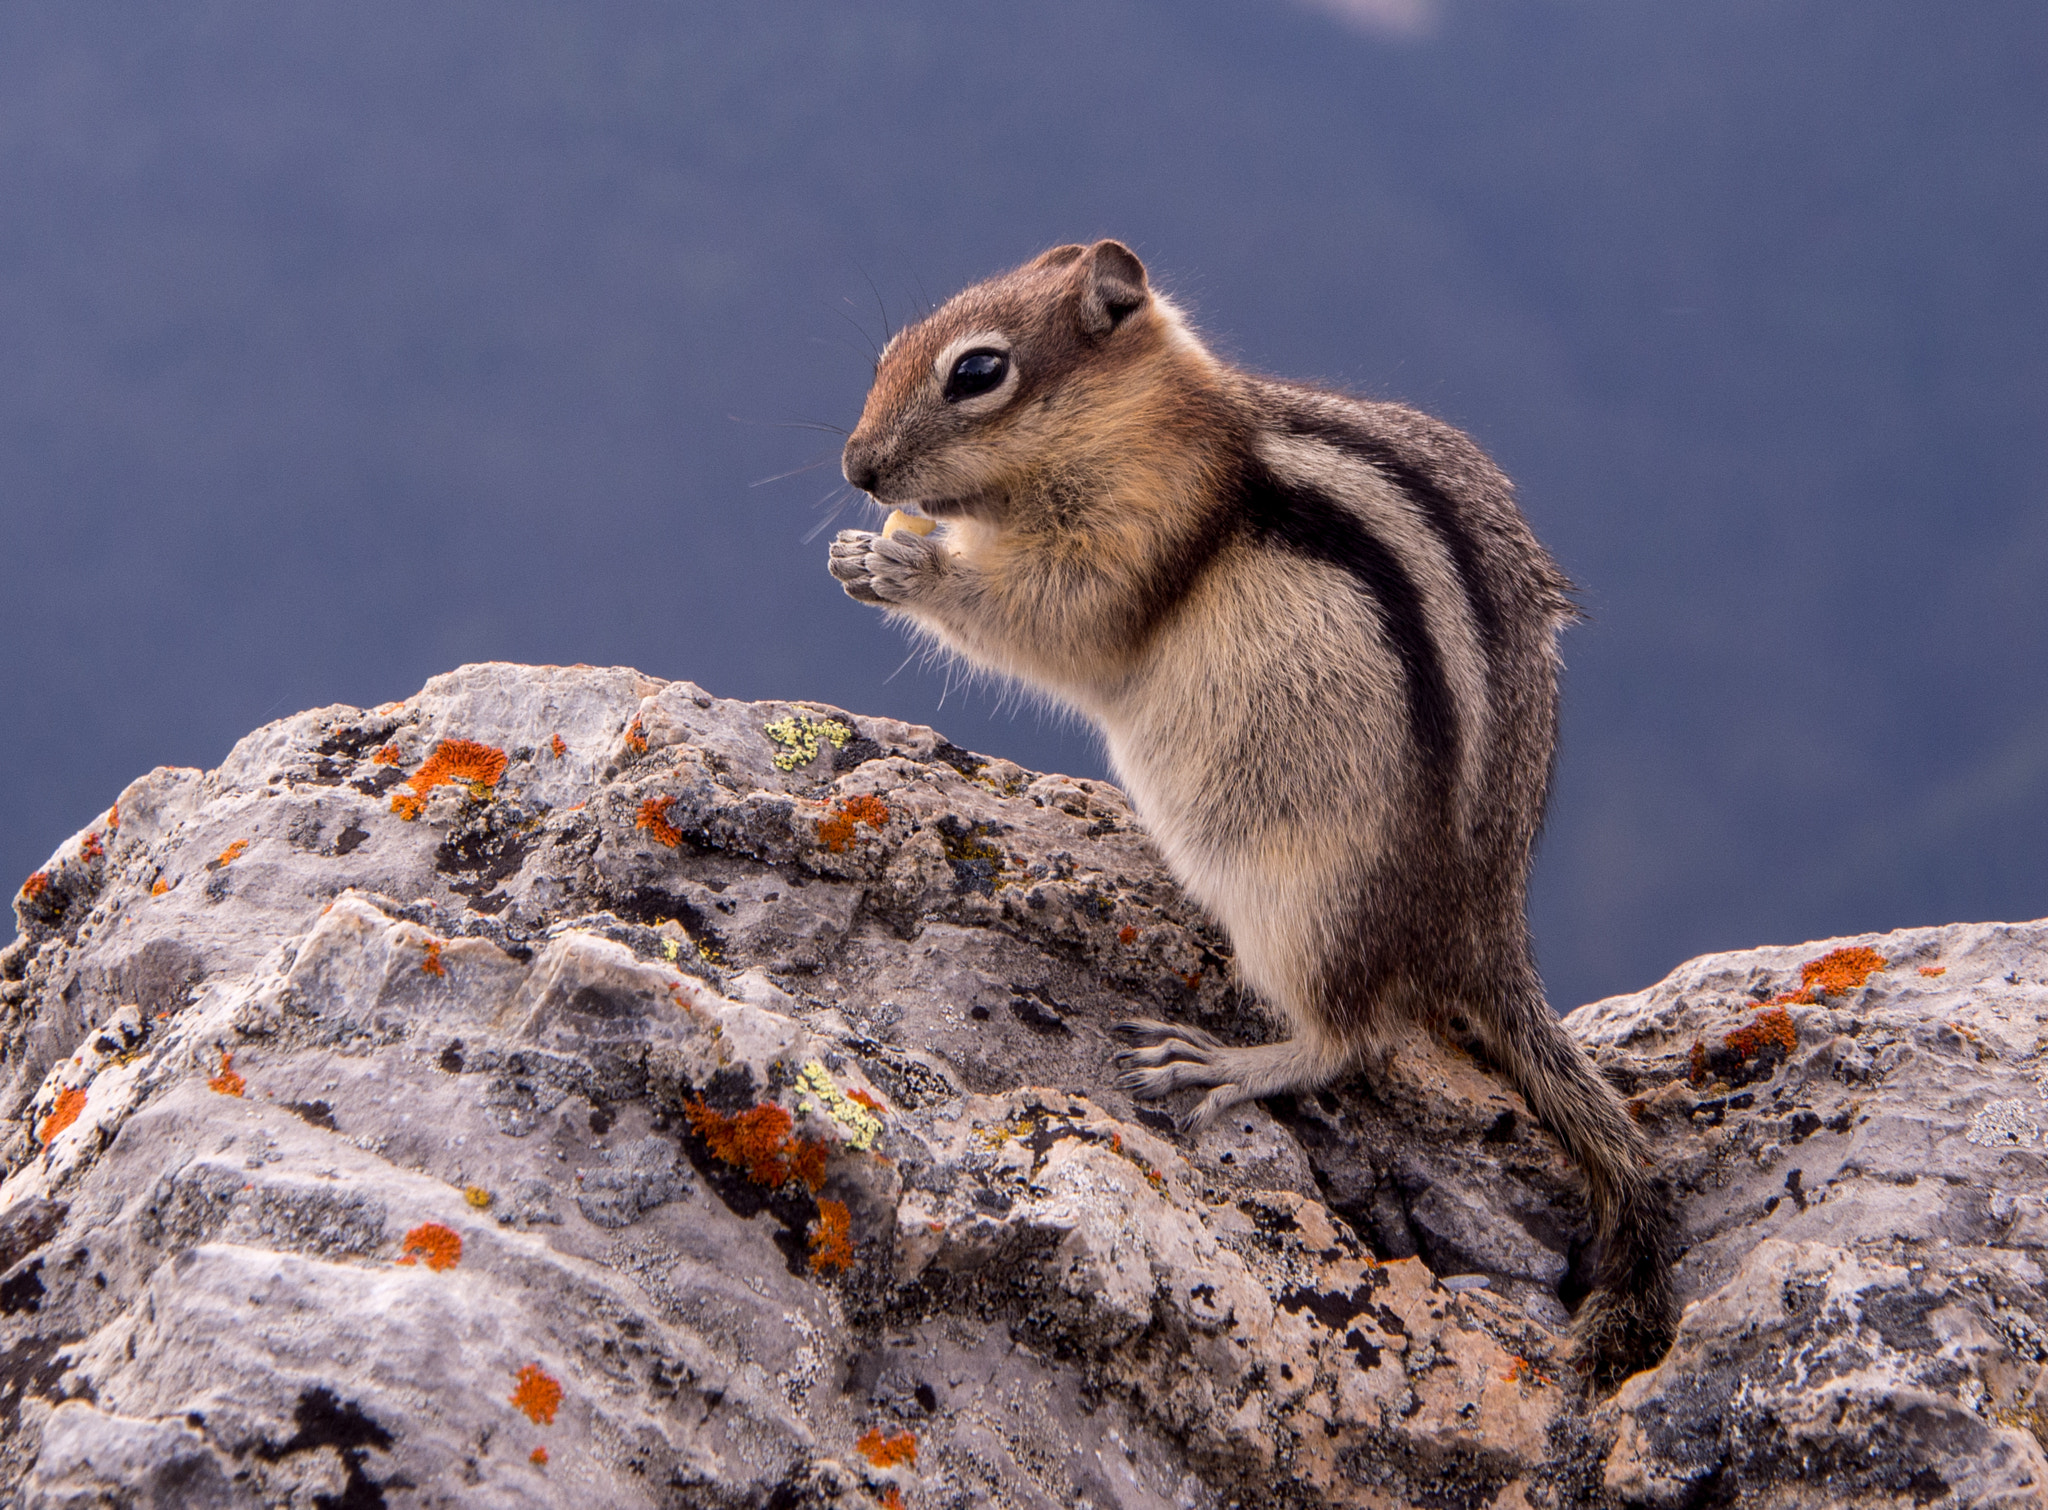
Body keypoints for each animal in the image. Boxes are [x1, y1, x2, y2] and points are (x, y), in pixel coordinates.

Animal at [827, 240, 1675, 1386]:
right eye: (887, 355)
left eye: (977, 372)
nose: (856, 470)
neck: (1144, 420)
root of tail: (1487, 927)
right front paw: (862, 548)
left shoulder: (1139, 530)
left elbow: (1052, 616)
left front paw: (900, 560)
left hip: (1306, 906)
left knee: (1354, 1037)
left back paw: (1224, 1061)